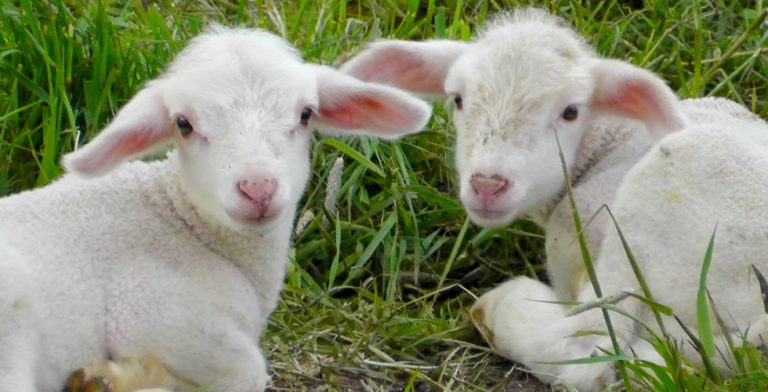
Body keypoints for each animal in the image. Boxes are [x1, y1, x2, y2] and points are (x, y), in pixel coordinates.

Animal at [0, 26, 432, 390]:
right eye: (183, 124)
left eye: (306, 114)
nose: (258, 188)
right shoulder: (149, 310)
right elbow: (248, 369)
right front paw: (124, 377)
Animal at [344, 6, 768, 392]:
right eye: (458, 100)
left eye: (570, 111)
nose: (488, 184)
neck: (610, 143)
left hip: (654, 214)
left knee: (587, 350)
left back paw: (502, 305)